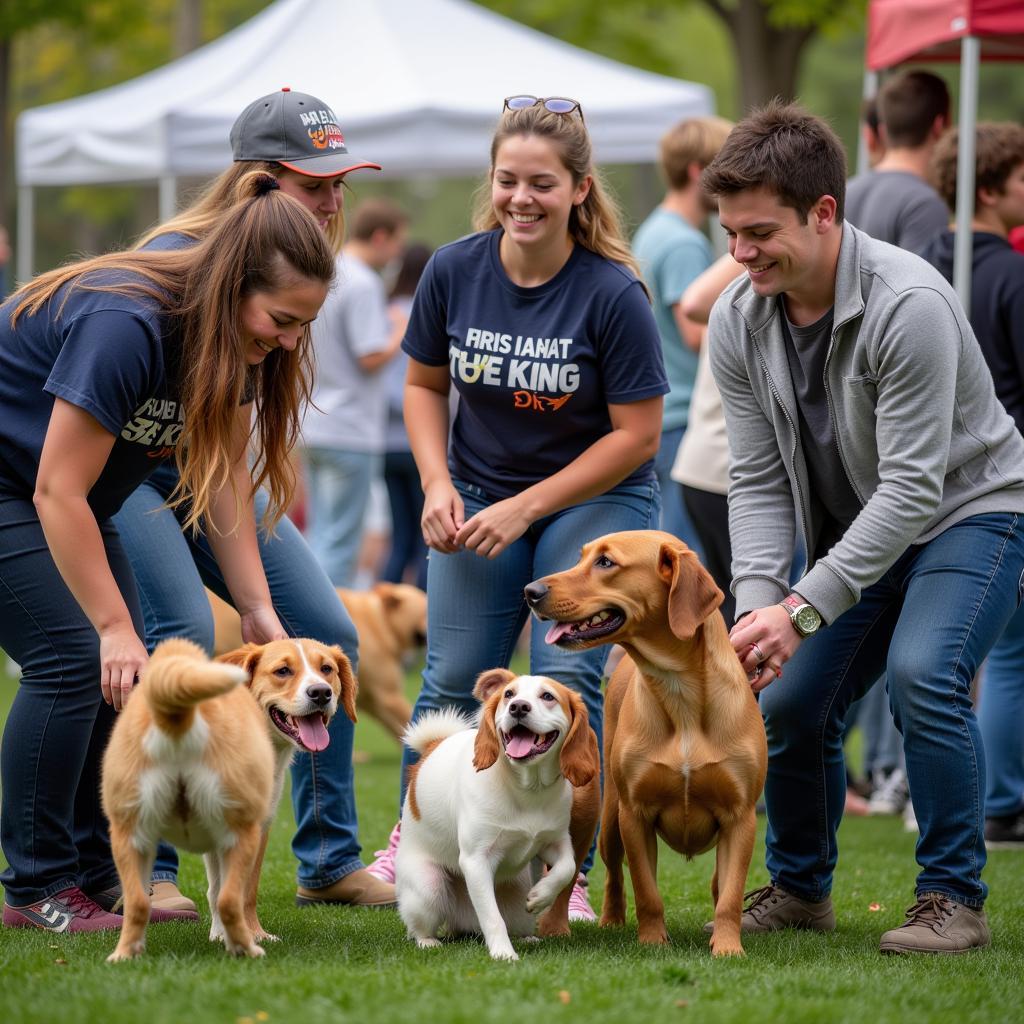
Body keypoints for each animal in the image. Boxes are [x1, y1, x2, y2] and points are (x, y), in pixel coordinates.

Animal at [99, 630, 356, 958]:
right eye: (283, 671)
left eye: (326, 669)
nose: (321, 693)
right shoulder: (254, 828)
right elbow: (243, 892)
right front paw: (250, 934)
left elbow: (220, 889)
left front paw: (224, 934)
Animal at [205, 581, 421, 741]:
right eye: (282, 671)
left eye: (326, 668)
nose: (321, 693)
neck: (379, 621)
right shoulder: (390, 696)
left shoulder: (375, 702)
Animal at [391, 671, 598, 958]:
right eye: (509, 694)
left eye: (548, 696)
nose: (518, 707)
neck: (527, 789)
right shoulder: (476, 860)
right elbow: (492, 917)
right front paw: (503, 954)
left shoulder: (555, 842)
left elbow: (566, 868)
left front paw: (541, 896)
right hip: (428, 888)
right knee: (419, 928)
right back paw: (428, 941)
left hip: (518, 898)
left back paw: (528, 937)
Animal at [528, 532, 770, 954]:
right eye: (582, 557)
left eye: (606, 562)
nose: (531, 591)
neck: (678, 690)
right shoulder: (634, 814)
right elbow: (646, 889)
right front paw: (653, 941)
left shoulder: (740, 818)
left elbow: (730, 893)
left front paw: (727, 946)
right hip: (608, 817)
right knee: (612, 874)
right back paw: (608, 920)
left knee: (717, 884)